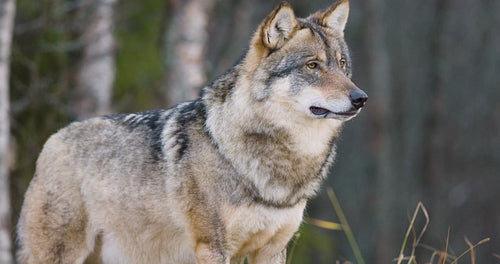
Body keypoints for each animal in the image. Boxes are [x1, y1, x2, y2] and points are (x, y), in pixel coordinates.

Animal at [16, 1, 368, 262]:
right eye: (312, 66)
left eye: (341, 64)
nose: (360, 98)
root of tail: (53, 139)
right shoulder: (211, 247)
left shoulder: (271, 251)